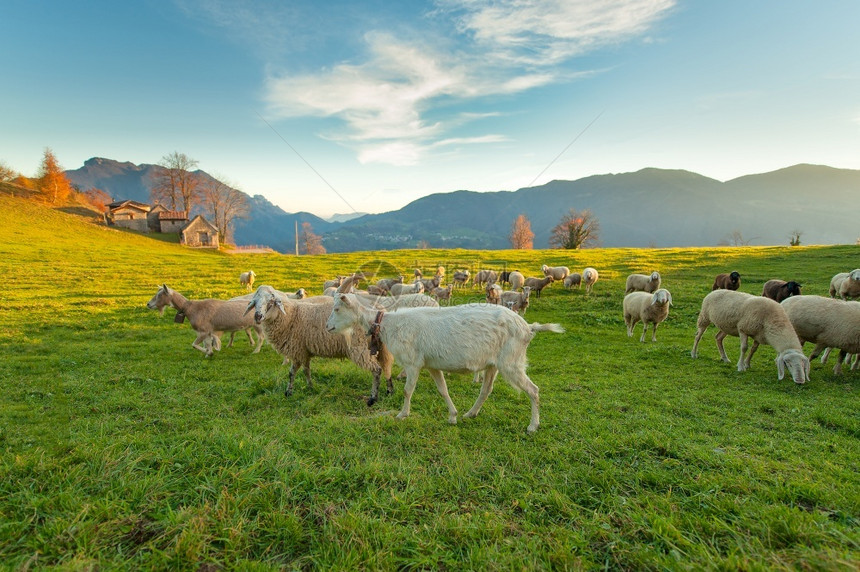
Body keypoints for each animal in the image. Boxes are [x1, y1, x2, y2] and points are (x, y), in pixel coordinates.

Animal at [244, 284, 394, 402]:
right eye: (255, 303)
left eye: (271, 302)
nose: (257, 317)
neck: (291, 316)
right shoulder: (304, 351)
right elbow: (304, 371)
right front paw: (308, 388)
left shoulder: (297, 350)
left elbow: (294, 372)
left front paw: (291, 392)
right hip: (382, 347)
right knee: (386, 366)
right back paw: (389, 391)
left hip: (360, 347)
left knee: (377, 370)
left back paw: (373, 397)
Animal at [326, 294, 560, 434]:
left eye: (337, 309)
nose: (328, 327)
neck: (388, 325)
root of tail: (528, 328)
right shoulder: (431, 365)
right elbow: (443, 390)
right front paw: (453, 416)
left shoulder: (413, 362)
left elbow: (407, 390)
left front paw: (402, 414)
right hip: (494, 363)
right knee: (486, 390)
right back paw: (470, 414)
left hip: (512, 361)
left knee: (533, 390)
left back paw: (533, 425)